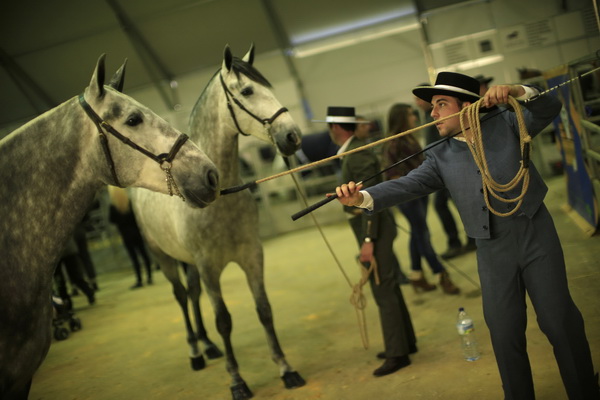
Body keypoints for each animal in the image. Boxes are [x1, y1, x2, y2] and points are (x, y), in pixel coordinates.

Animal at [129, 45, 302, 398]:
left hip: (189, 263)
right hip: (164, 259)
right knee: (182, 296)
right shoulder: (210, 267)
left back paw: (208, 346)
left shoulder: (251, 256)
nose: (292, 137)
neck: (219, 197)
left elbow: (264, 310)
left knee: (193, 294)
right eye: (247, 91)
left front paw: (285, 368)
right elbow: (224, 320)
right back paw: (195, 352)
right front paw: (237, 380)